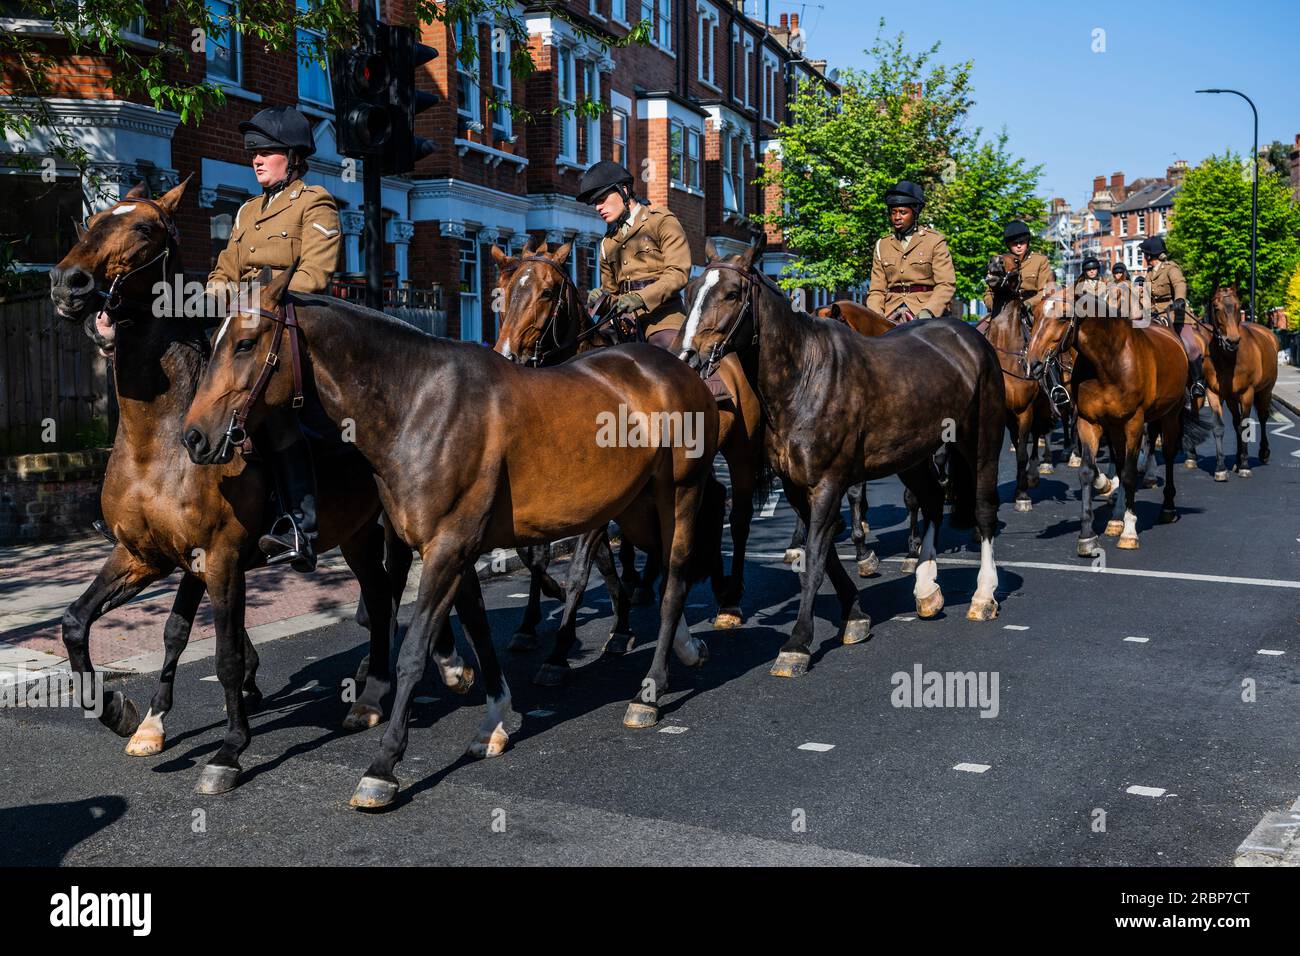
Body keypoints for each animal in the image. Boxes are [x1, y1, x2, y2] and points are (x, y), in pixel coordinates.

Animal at [45, 179, 408, 790]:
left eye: (143, 228)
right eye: (91, 220)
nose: (68, 283)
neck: (159, 440)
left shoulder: (220, 559)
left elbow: (224, 655)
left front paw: (230, 749)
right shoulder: (145, 555)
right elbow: (85, 622)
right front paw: (125, 714)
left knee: (390, 596)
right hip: (357, 534)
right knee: (379, 598)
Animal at [182, 261, 722, 806]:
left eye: (245, 344)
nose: (194, 436)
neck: (418, 405)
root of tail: (679, 367)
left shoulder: (447, 547)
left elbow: (415, 651)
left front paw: (383, 765)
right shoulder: (456, 546)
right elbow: (479, 630)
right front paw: (495, 721)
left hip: (681, 492)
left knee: (675, 578)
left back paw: (650, 690)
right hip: (637, 505)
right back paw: (684, 646)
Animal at [491, 236, 764, 634]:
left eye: (546, 292)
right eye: (503, 291)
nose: (509, 356)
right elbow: (538, 551)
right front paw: (533, 618)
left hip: (740, 451)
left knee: (739, 517)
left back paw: (727, 597)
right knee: (708, 500)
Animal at [676, 231, 1008, 681]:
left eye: (731, 293)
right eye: (690, 290)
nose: (688, 357)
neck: (804, 377)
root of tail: (971, 337)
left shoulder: (828, 483)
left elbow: (817, 557)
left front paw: (797, 643)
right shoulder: (798, 486)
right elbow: (826, 553)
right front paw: (854, 615)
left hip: (983, 440)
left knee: (984, 508)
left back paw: (983, 595)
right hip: (912, 456)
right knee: (932, 499)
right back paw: (926, 589)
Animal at [1024, 287, 1206, 554]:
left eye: (1063, 316)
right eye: (1034, 315)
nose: (1032, 364)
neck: (1108, 364)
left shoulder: (1134, 423)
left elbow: (1129, 474)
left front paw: (1130, 531)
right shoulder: (1090, 422)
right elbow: (1089, 471)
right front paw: (1088, 535)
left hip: (1169, 415)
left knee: (1168, 455)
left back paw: (1167, 507)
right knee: (1119, 462)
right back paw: (1116, 517)